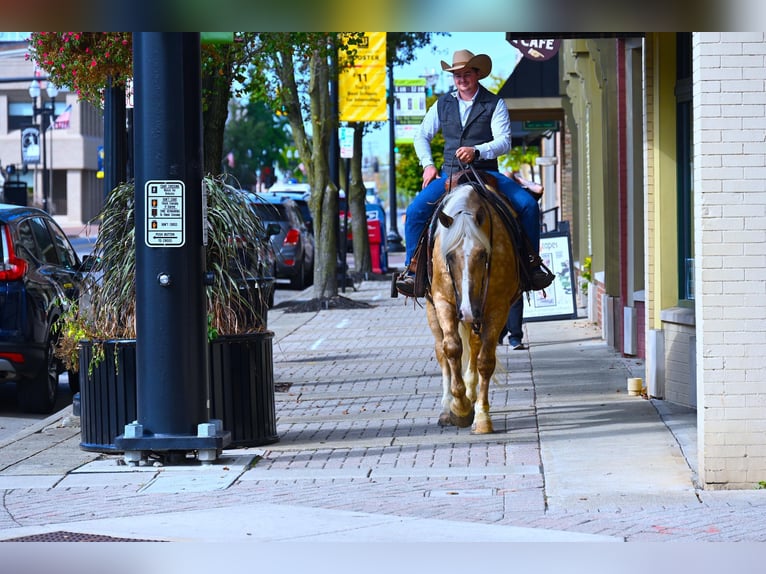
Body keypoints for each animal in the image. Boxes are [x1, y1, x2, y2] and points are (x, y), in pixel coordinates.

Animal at [426, 178, 520, 434]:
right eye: (449, 256)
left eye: (482, 255)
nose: (467, 311)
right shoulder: (443, 301)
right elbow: (451, 349)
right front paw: (459, 408)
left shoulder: (497, 308)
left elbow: (485, 361)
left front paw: (481, 416)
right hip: (433, 310)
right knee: (442, 351)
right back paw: (447, 406)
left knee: (475, 347)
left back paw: (471, 393)